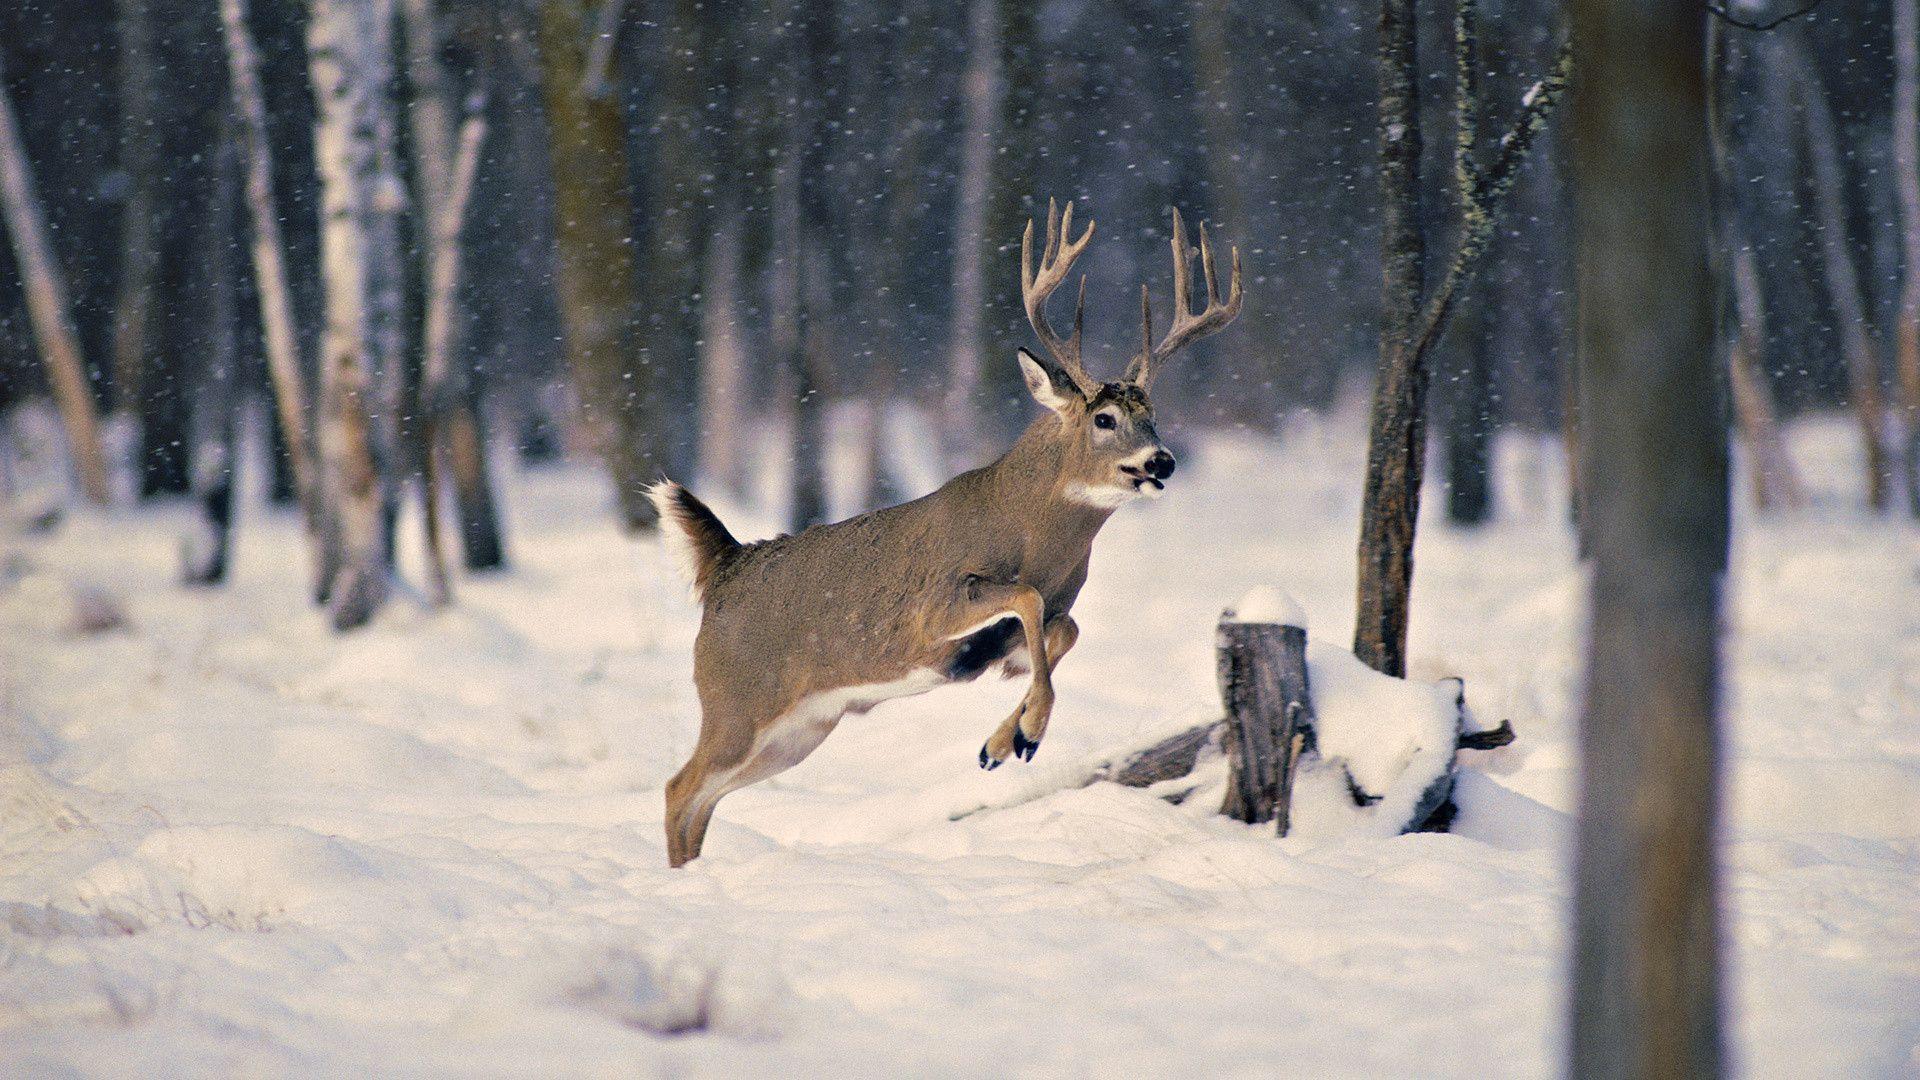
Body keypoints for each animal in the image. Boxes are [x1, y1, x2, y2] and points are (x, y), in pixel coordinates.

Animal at [651, 200, 1242, 867]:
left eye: (1154, 416)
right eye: (1105, 418)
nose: (1162, 460)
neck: (1031, 533)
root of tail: (726, 563)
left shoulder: (1036, 624)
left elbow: (1063, 629)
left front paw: (1002, 743)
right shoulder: (931, 613)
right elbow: (1027, 600)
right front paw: (1027, 733)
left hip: (799, 729)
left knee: (703, 799)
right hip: (735, 701)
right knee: (678, 788)